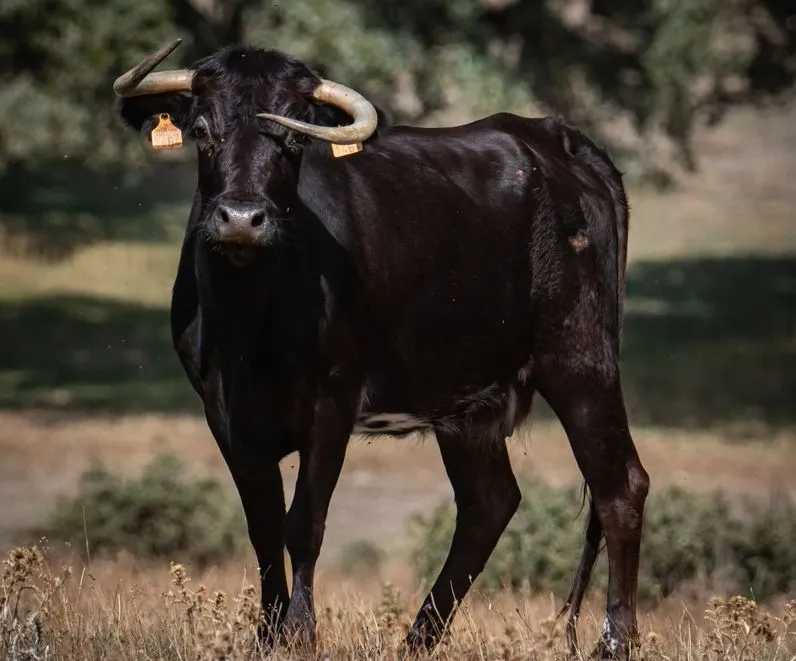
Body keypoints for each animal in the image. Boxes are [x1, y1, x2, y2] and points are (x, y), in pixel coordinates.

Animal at [111, 38, 650, 660]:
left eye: (294, 137)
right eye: (201, 130)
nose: (243, 219)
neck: (250, 324)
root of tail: (555, 139)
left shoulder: (332, 405)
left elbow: (304, 524)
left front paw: (299, 633)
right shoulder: (224, 413)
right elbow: (263, 525)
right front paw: (267, 635)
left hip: (581, 361)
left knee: (620, 487)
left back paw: (614, 642)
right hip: (468, 401)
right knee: (489, 504)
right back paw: (416, 640)